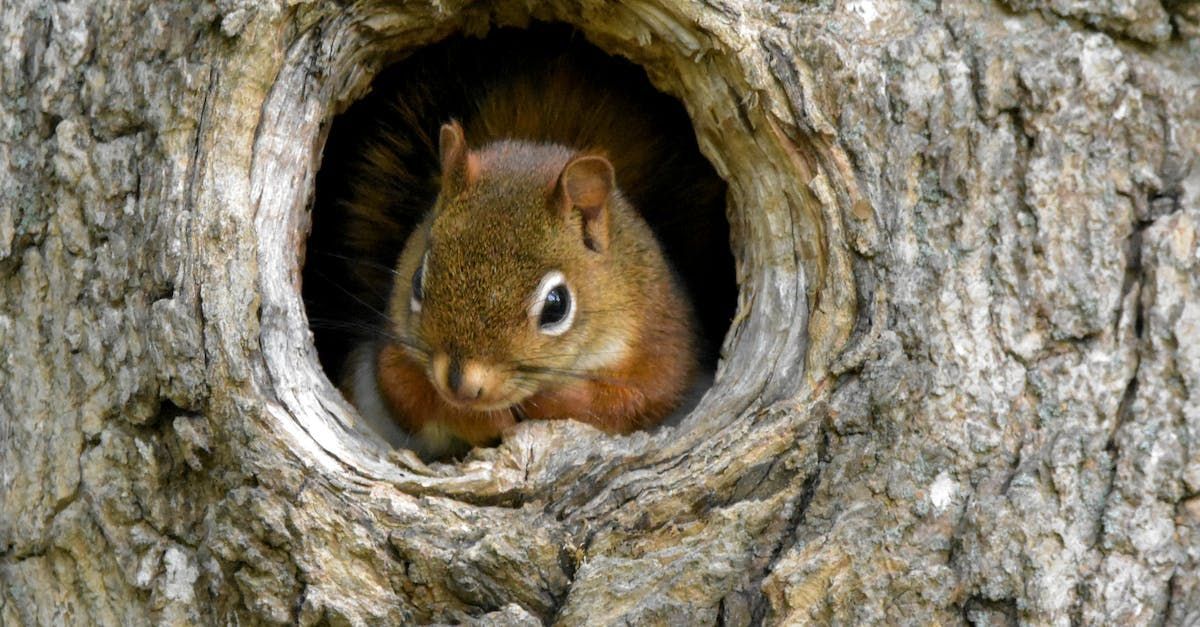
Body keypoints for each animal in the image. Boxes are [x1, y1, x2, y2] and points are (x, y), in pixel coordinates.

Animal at [304, 29, 724, 456]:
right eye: (418, 280)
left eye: (557, 306)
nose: (462, 385)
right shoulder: (394, 348)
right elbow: (403, 390)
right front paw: (479, 416)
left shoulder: (661, 341)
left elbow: (639, 398)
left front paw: (549, 400)